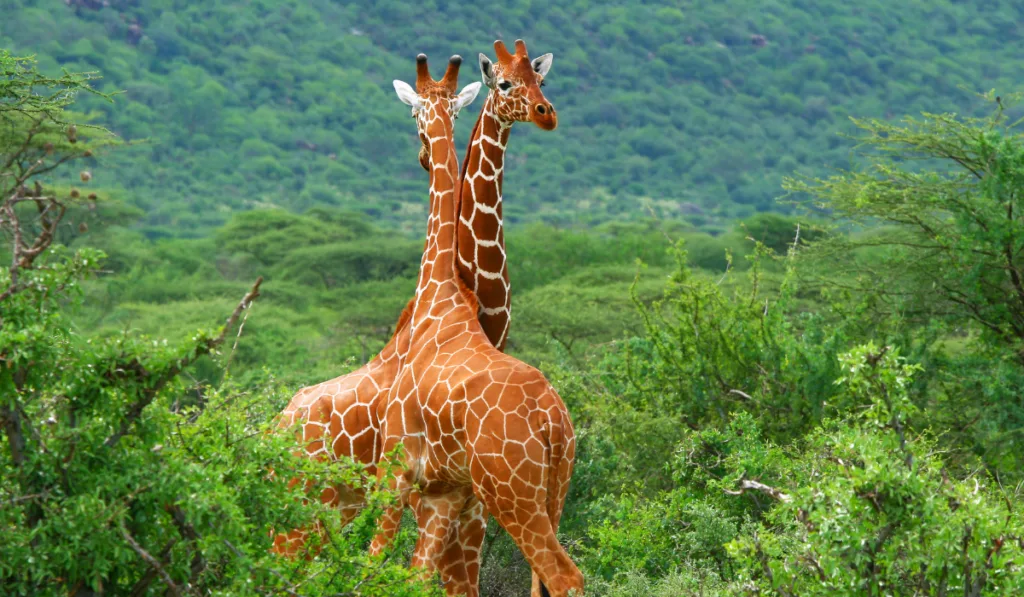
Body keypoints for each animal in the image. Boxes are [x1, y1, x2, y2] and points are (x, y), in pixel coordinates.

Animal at [376, 52, 585, 597]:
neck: (441, 294)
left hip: (510, 492)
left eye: (538, 79)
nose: (546, 113)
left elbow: (375, 563)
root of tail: (552, 420)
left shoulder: (400, 471)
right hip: (552, 492)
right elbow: (418, 576)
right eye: (506, 83)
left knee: (563, 573)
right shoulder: (446, 494)